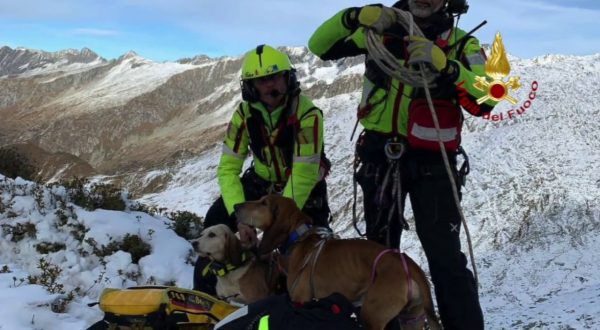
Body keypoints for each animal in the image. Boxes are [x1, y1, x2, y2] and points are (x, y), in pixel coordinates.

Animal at [234, 195, 440, 328]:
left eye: (263, 203)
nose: (235, 206)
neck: (298, 238)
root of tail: (408, 264)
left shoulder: (301, 301)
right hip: (411, 318)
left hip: (372, 316)